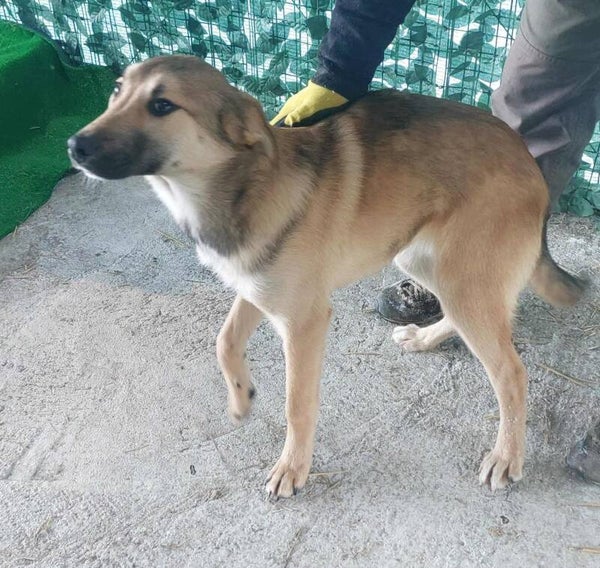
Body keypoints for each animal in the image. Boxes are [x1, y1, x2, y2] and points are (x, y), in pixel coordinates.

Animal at [68, 55, 585, 498]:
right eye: (116, 91)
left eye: (162, 105)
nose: (74, 145)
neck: (243, 186)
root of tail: (530, 163)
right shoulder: (256, 288)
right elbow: (224, 340)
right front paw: (241, 397)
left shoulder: (304, 321)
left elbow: (297, 404)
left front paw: (292, 468)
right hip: (421, 260)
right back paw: (424, 338)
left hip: (464, 280)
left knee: (511, 373)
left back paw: (507, 456)